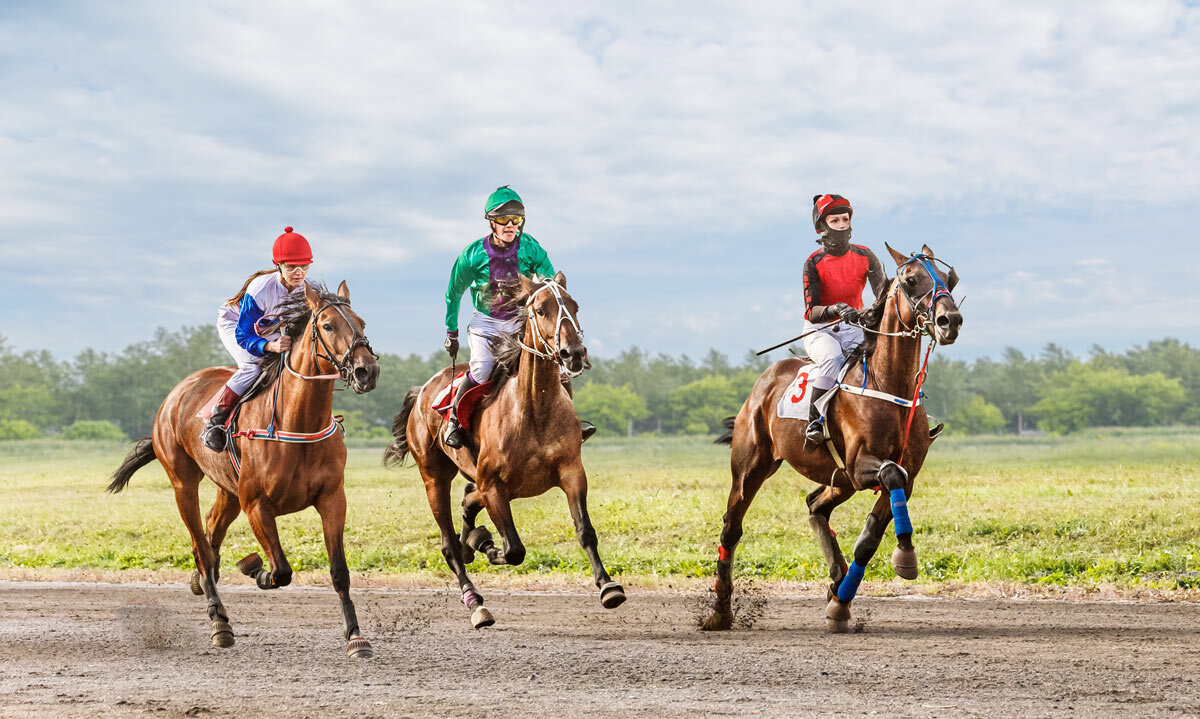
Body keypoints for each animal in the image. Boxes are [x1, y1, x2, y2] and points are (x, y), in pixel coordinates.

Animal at [109, 280, 379, 657]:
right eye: (327, 326)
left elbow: (339, 571)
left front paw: (355, 636)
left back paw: (200, 583)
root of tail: (177, 392)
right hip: (183, 483)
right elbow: (280, 570)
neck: (296, 422)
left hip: (228, 490)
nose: (367, 371)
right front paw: (255, 569)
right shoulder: (257, 504)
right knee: (201, 547)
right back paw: (218, 620)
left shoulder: (332, 499)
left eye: (362, 323)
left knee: (211, 531)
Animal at [384, 274, 628, 628]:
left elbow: (585, 531)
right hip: (433, 478)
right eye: (540, 309)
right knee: (449, 543)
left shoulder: (571, 472)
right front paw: (484, 544)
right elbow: (513, 549)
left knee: (467, 502)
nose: (573, 353)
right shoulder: (493, 487)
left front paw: (608, 585)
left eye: (574, 305)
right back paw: (475, 600)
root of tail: (422, 393)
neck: (534, 411)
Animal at [700, 244, 964, 633]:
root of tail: (765, 380)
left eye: (949, 279)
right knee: (731, 528)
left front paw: (842, 602)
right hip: (752, 468)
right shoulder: (861, 465)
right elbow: (889, 476)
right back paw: (719, 611)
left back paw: (837, 578)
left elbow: (870, 538)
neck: (889, 386)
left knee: (816, 506)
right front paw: (904, 556)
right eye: (910, 279)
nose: (950, 321)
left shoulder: (905, 475)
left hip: (839, 481)